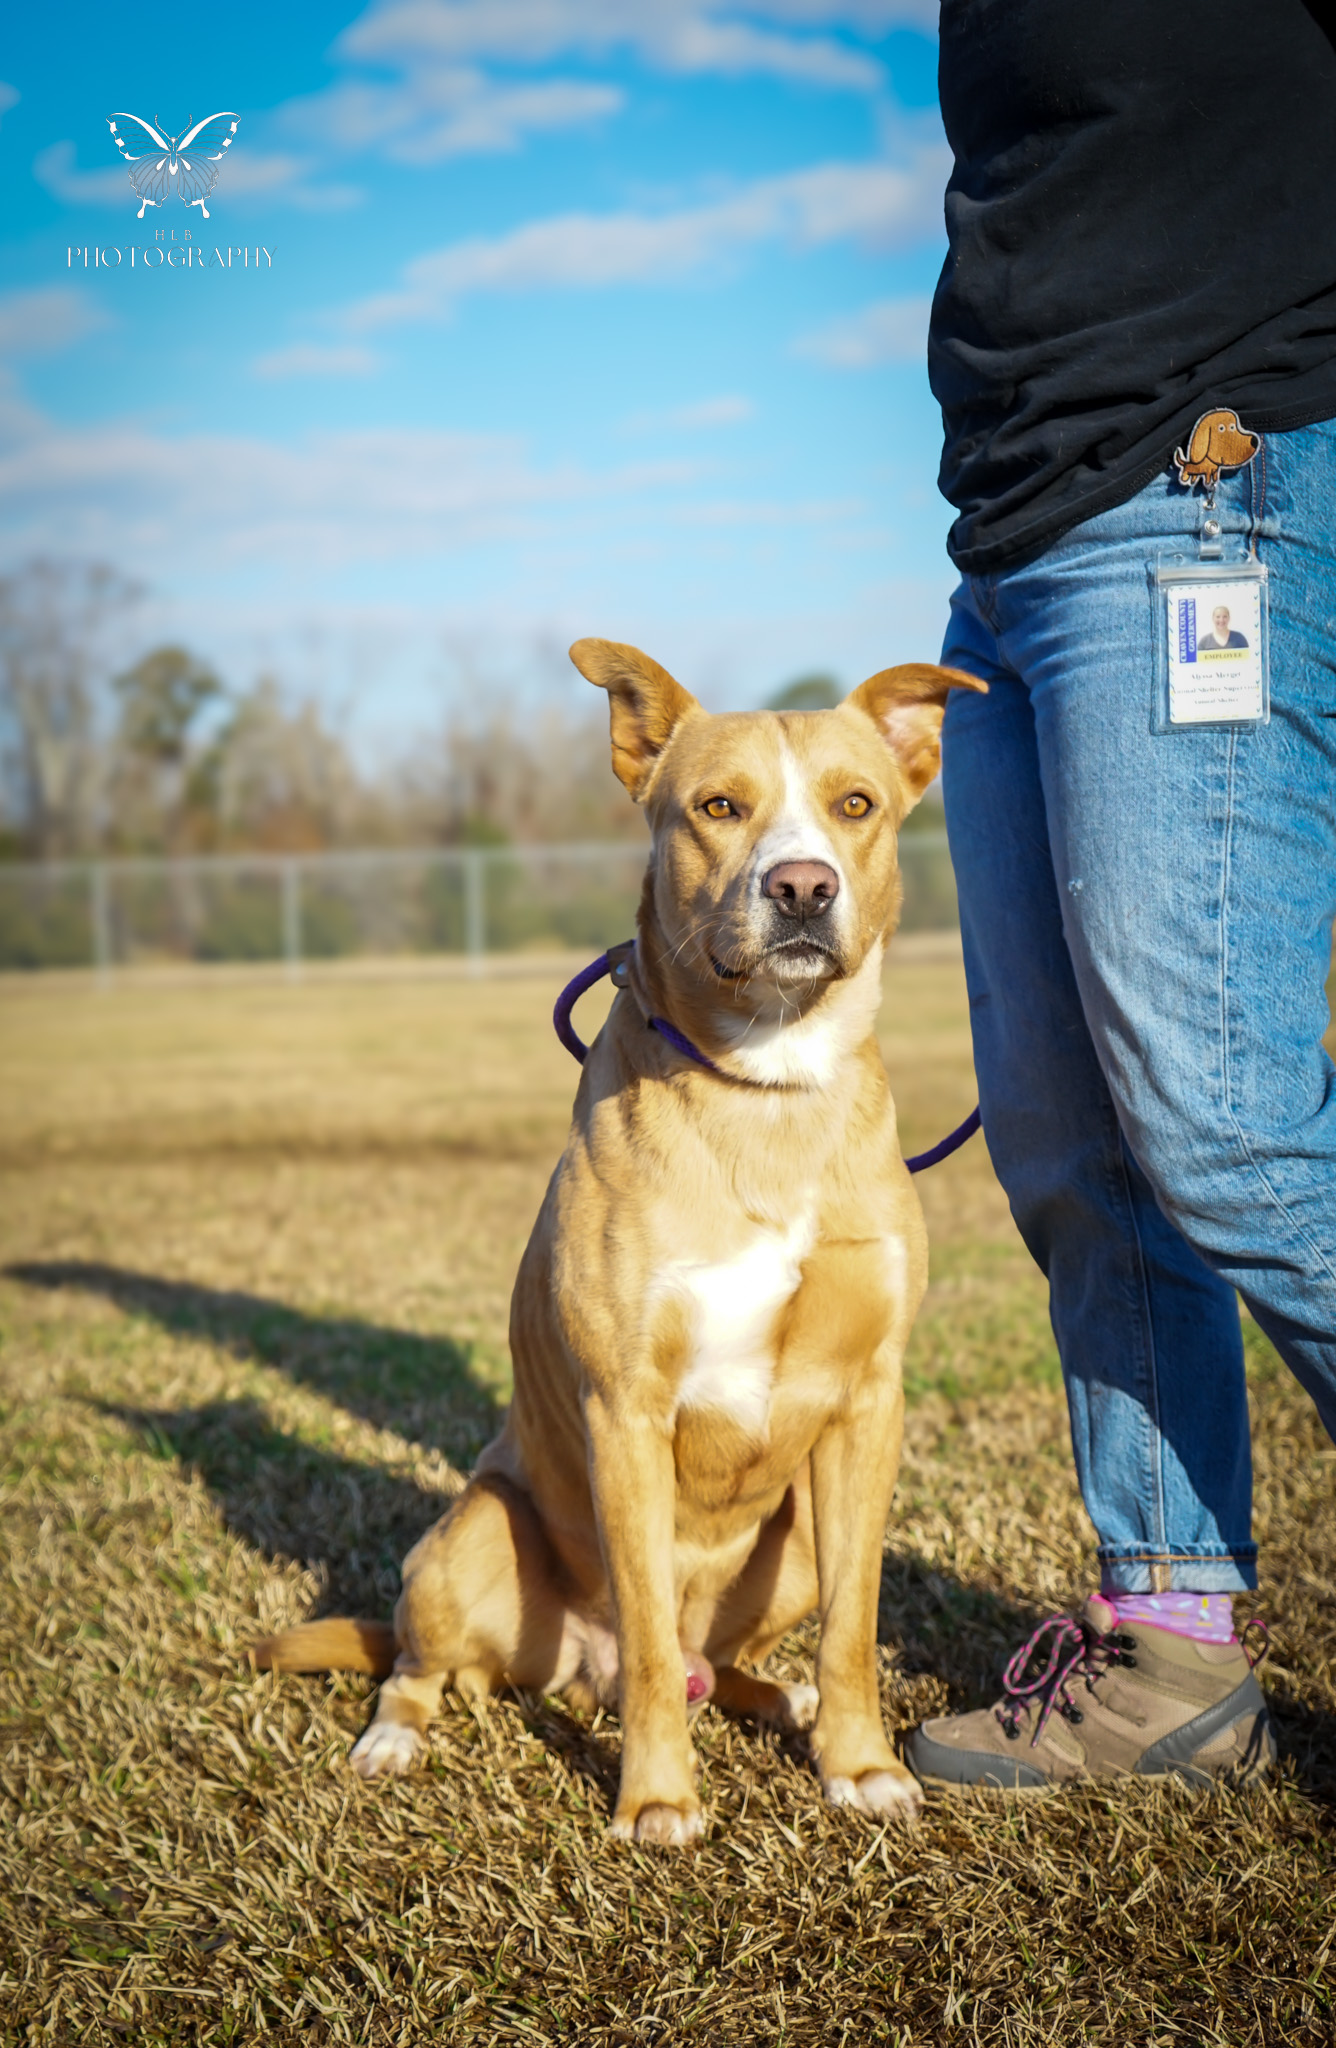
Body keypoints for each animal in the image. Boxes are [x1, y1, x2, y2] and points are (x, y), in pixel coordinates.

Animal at [258, 638, 979, 1843]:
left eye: (856, 805)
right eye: (718, 806)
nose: (802, 886)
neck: (766, 1090)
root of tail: (567, 1674)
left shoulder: (869, 1399)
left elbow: (854, 1625)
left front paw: (861, 1765)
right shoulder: (627, 1409)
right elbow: (644, 1633)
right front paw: (657, 1798)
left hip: (787, 1542)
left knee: (726, 1660)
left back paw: (776, 1698)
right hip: (470, 1539)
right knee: (428, 1661)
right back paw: (393, 1739)